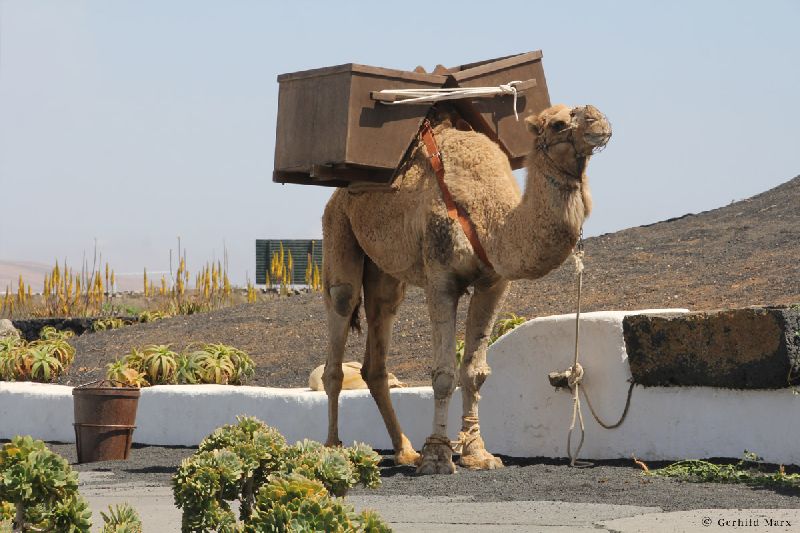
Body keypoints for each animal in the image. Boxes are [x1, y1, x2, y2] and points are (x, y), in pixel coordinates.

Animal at [321, 103, 611, 474]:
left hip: (385, 274)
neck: (493, 220)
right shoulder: (440, 277)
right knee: (339, 318)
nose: (599, 122)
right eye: (559, 124)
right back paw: (335, 449)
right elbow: (444, 373)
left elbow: (474, 373)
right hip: (337, 230)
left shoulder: (494, 283)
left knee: (377, 347)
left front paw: (477, 453)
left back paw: (405, 451)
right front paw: (438, 456)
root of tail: (338, 195)